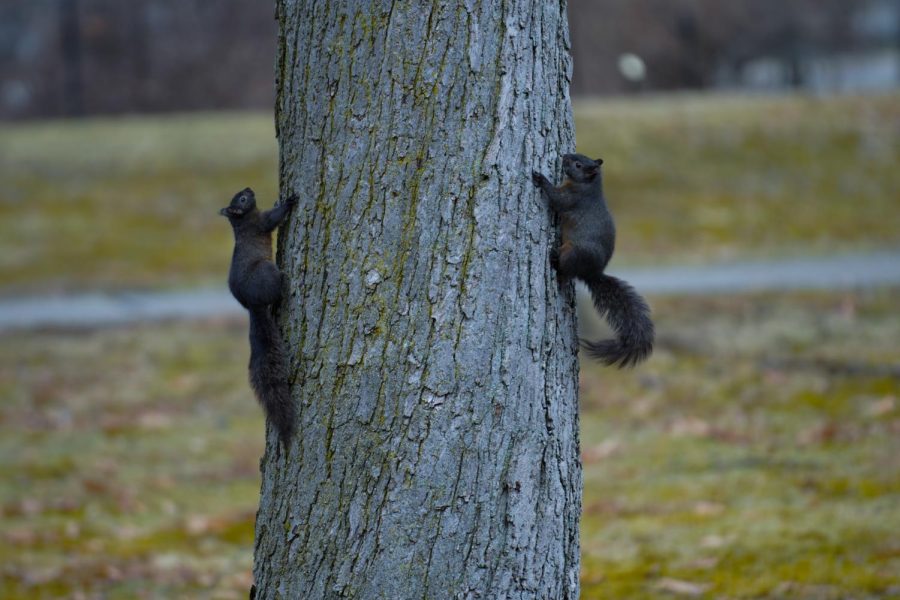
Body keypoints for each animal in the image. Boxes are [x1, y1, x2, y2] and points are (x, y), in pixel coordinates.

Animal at [220, 189, 298, 450]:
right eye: (242, 200)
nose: (249, 189)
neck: (242, 221)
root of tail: (252, 305)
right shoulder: (262, 223)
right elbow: (274, 218)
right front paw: (288, 202)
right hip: (266, 271)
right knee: (276, 290)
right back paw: (284, 282)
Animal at [536, 154, 652, 366]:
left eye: (578, 164)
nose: (564, 156)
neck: (589, 186)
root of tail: (592, 273)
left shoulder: (573, 198)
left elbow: (557, 199)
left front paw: (541, 179)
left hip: (574, 253)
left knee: (565, 272)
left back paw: (555, 259)